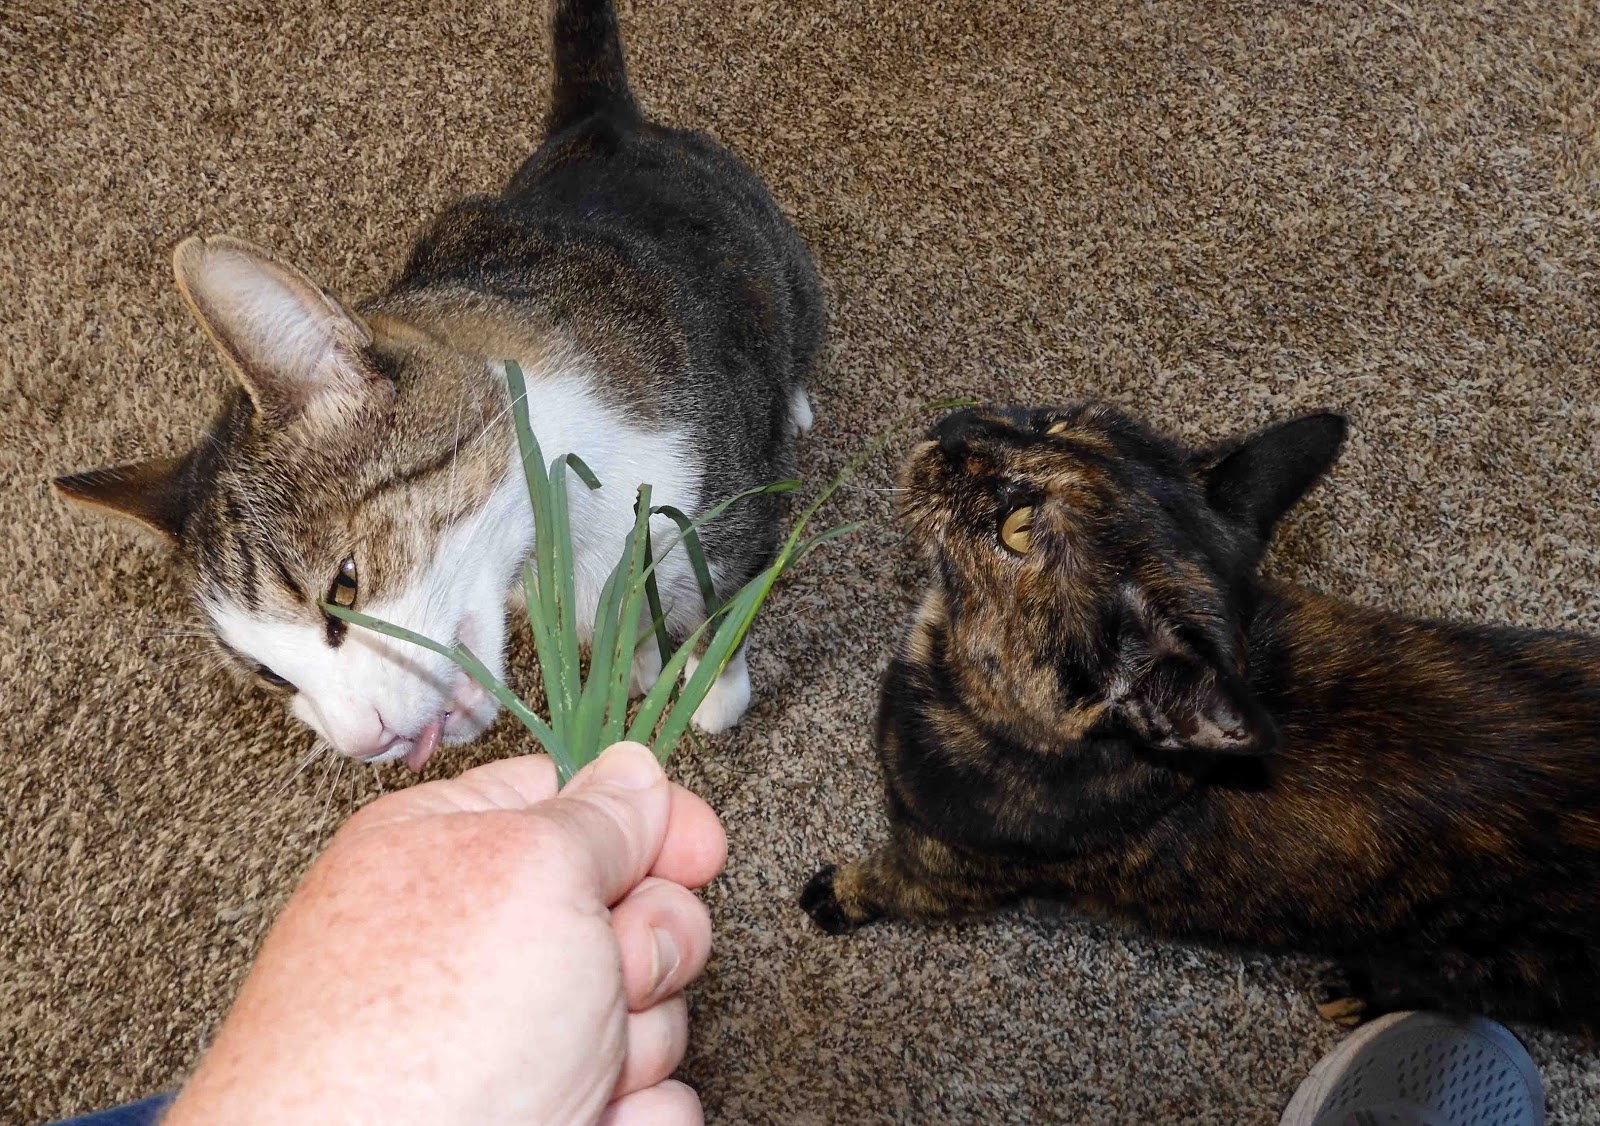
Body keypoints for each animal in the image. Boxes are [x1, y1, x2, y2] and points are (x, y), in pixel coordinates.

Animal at [54, 0, 823, 772]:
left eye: (345, 584)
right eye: (272, 675)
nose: (365, 740)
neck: (569, 526)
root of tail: (600, 117)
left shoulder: (727, 519)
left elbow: (724, 614)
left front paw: (712, 691)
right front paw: (635, 659)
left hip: (789, 269)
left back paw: (794, 400)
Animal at [802, 403, 1600, 1033]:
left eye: (1018, 529)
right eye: (1051, 421)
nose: (954, 424)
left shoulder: (944, 870)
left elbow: (883, 883)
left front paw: (833, 896)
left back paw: (1358, 994)